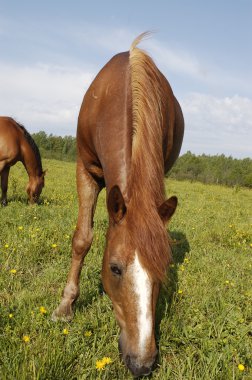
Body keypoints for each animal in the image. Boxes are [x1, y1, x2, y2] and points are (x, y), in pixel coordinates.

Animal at [52, 32, 183, 378]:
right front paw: (65, 307)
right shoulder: (85, 169)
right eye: (114, 268)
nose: (143, 362)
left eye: (163, 269)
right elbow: (82, 239)